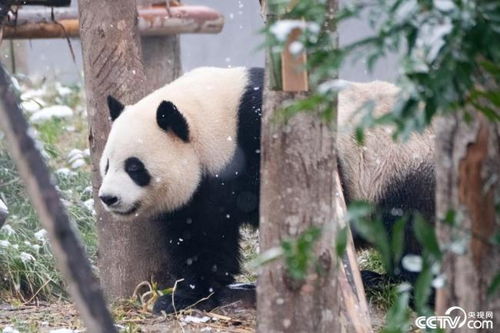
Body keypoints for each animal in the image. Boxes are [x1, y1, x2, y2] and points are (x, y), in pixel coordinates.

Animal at [97, 66, 434, 312]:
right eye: (107, 164)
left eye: (135, 168)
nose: (108, 197)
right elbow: (198, 235)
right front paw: (186, 294)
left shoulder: (260, 145)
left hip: (404, 169)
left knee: (414, 236)